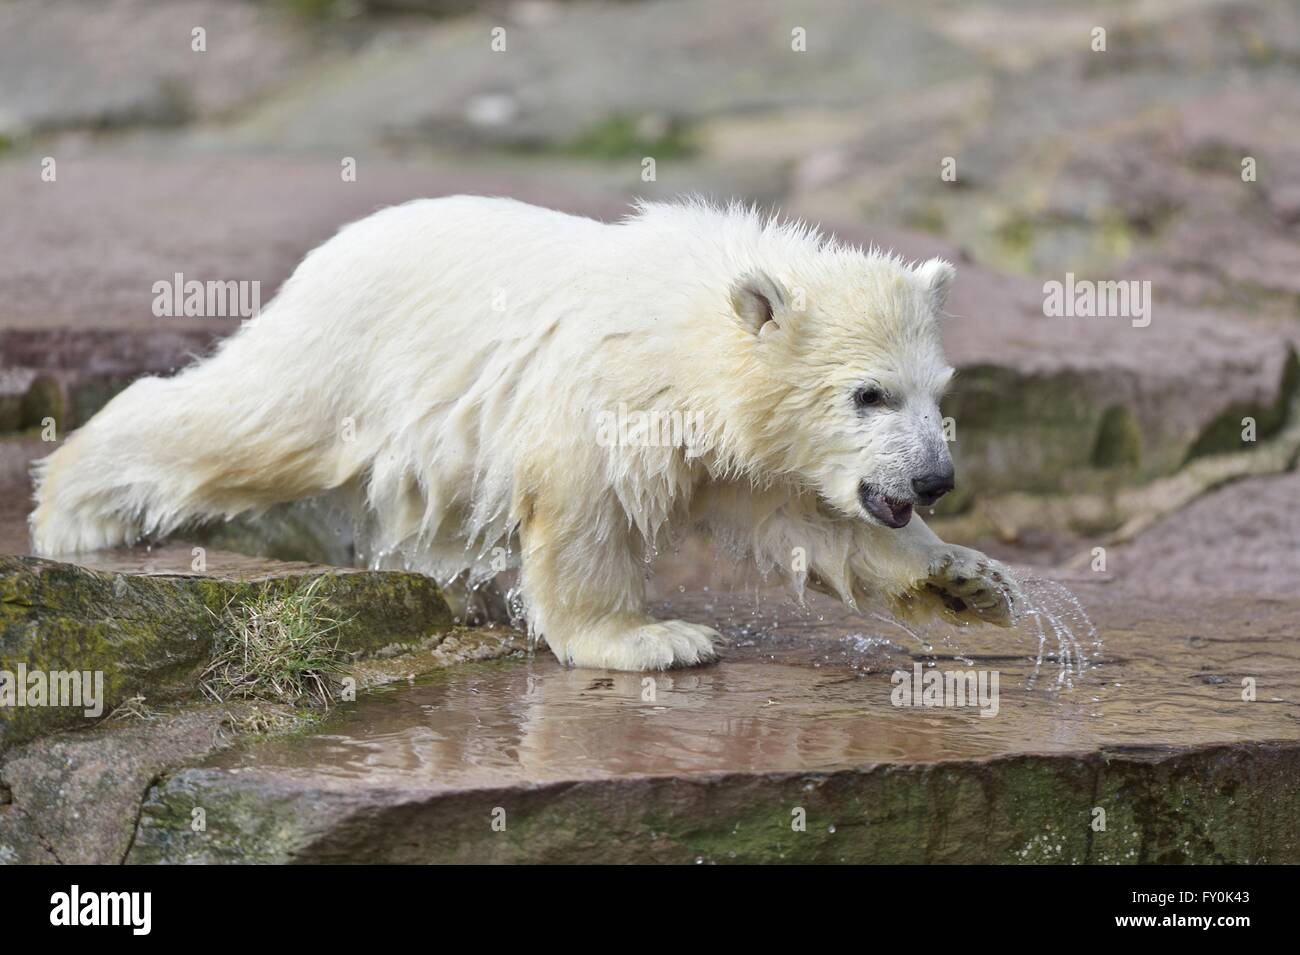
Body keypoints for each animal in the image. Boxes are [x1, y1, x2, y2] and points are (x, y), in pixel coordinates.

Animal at [30, 197, 1019, 670]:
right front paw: (652, 639)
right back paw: (73, 508)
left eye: (935, 392)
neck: (685, 326)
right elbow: (583, 509)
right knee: (253, 421)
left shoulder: (735, 448)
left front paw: (968, 578)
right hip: (352, 354)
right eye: (868, 393)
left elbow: (803, 520)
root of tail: (328, 251)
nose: (934, 480)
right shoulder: (604, 391)